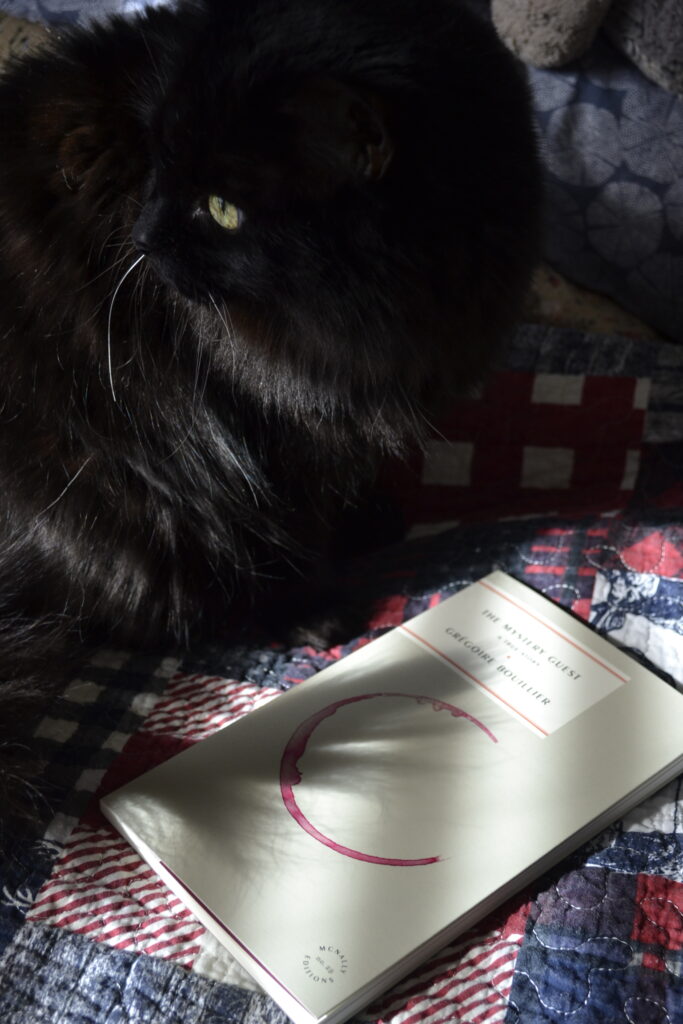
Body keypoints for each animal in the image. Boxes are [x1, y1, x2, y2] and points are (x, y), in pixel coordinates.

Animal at [0, 0, 540, 819]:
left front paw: (366, 519)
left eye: (222, 208)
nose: (141, 238)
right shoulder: (258, 420)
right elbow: (280, 519)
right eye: (155, 167)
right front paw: (308, 606)